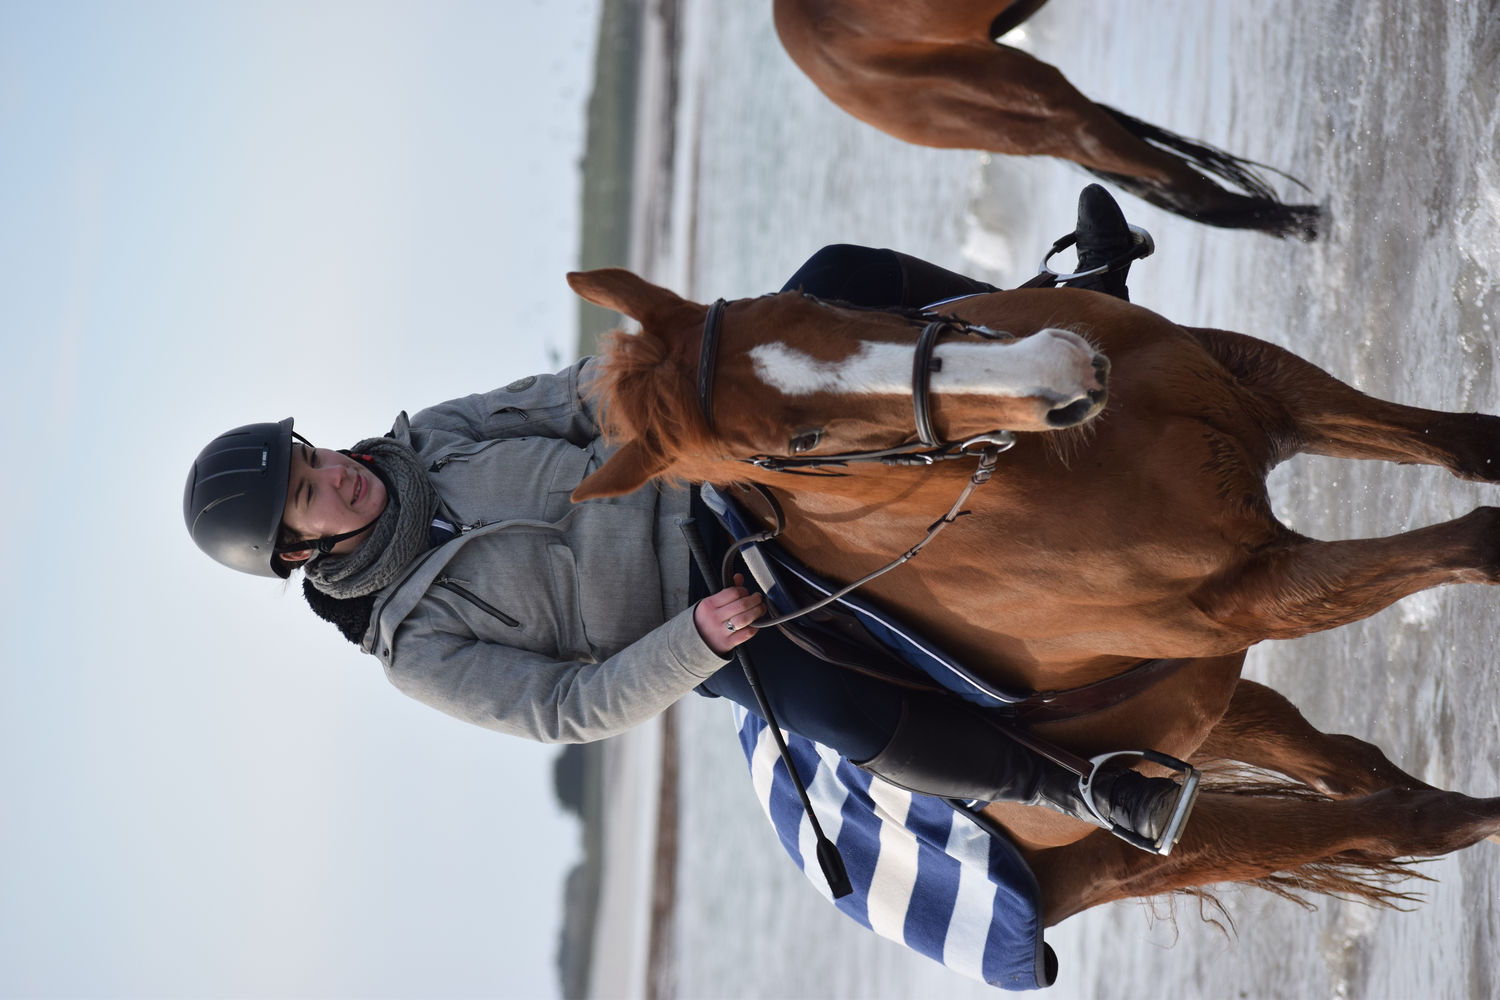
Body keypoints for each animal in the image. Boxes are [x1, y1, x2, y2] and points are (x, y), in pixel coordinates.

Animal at [564, 268, 1500, 929]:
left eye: (808, 299)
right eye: (801, 439)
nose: (1056, 362)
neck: (1045, 477)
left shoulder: (1261, 387)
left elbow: (1458, 446)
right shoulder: (1253, 588)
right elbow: (1471, 543)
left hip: (1201, 707)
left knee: (1351, 772)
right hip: (1149, 841)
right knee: (1380, 822)